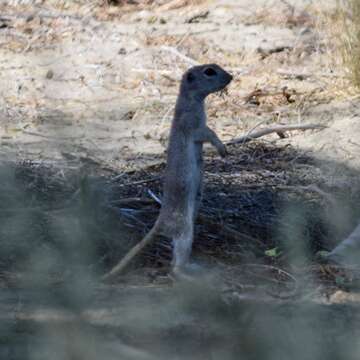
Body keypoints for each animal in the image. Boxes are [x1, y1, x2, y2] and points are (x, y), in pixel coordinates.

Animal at [102, 64, 233, 282]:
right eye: (209, 71)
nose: (231, 77)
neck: (192, 100)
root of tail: (161, 220)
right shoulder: (193, 123)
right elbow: (208, 132)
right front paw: (222, 148)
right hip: (185, 228)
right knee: (175, 266)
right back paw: (189, 275)